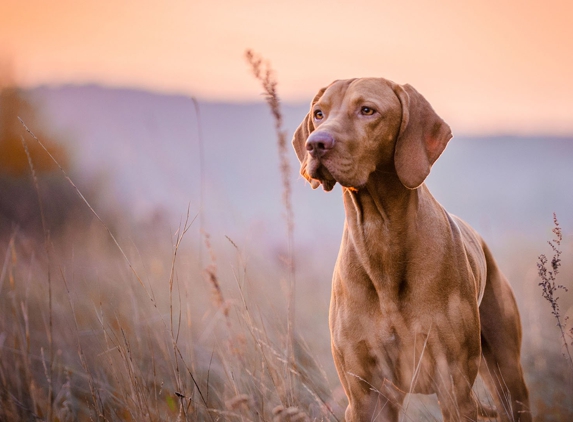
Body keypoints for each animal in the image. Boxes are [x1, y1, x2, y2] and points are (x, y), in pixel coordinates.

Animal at [292, 77, 528, 420]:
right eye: (319, 113)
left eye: (367, 110)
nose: (315, 143)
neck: (380, 236)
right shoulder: (365, 396)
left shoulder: (454, 387)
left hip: (507, 375)